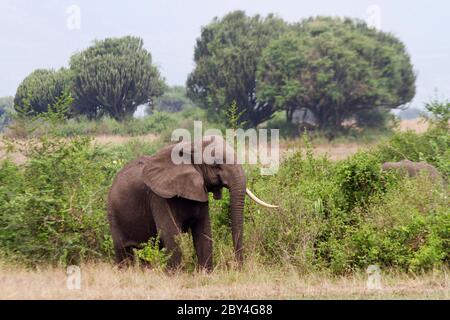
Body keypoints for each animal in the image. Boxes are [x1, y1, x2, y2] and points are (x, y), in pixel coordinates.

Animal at [107, 133, 276, 270]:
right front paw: (176, 275)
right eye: (215, 164)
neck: (191, 145)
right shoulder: (157, 196)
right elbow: (170, 232)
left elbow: (203, 230)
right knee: (123, 250)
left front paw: (205, 273)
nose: (237, 268)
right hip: (113, 213)